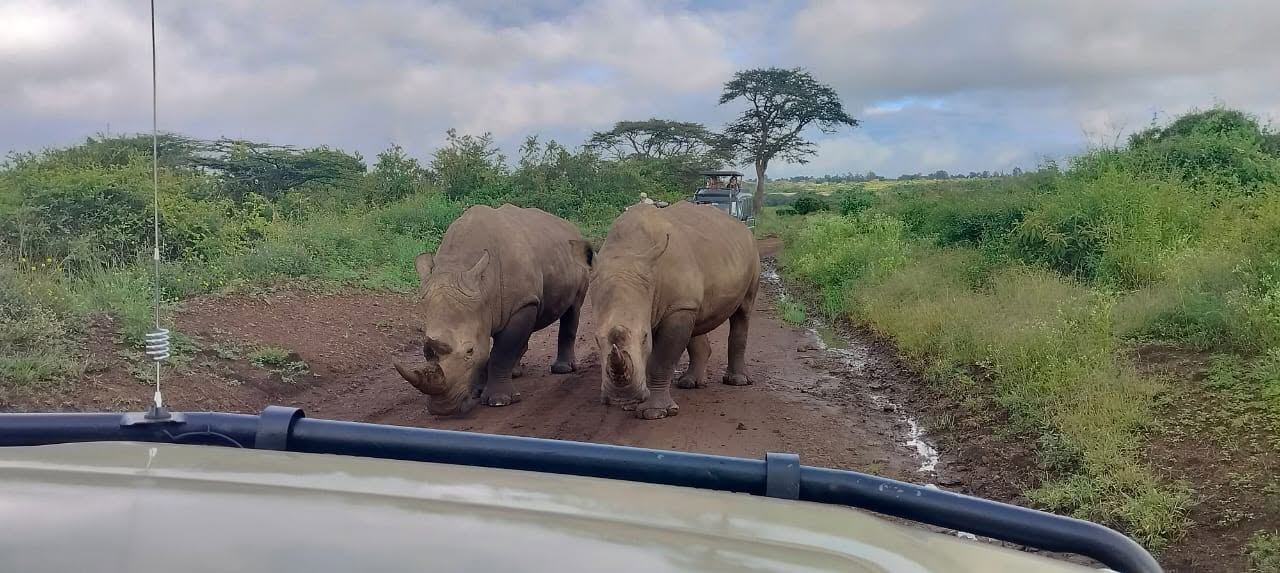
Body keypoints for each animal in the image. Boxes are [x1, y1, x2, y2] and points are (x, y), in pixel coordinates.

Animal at [394, 204, 592, 416]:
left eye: (469, 351)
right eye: (425, 351)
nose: (443, 409)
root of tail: (570, 227)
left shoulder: (522, 303)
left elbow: (501, 350)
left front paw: (499, 401)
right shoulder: (487, 307)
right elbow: (494, 349)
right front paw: (478, 391)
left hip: (576, 262)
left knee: (573, 309)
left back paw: (562, 369)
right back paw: (515, 373)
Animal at [587, 202, 760, 420]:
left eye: (645, 337)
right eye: (595, 339)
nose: (620, 396)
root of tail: (741, 225)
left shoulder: (676, 307)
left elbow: (662, 360)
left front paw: (654, 413)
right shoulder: (674, 303)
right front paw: (631, 404)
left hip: (751, 252)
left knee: (743, 312)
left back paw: (737, 382)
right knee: (696, 319)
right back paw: (689, 384)